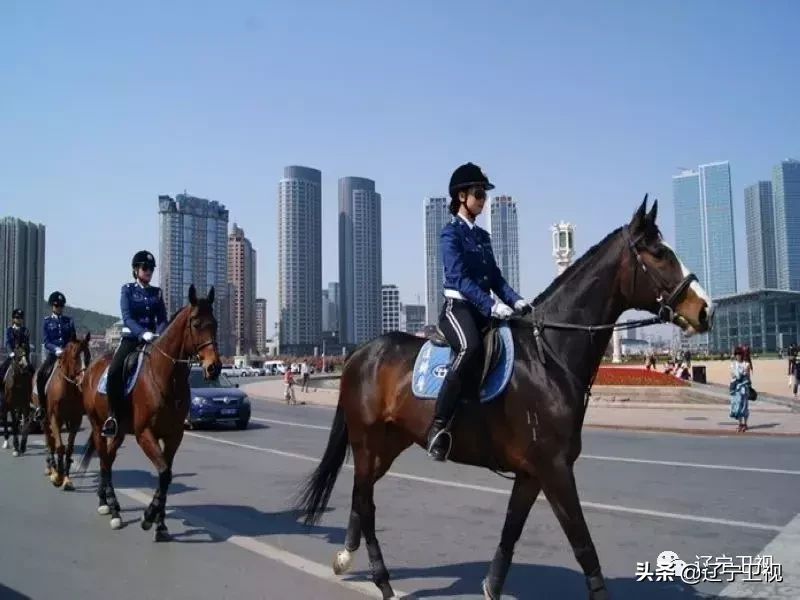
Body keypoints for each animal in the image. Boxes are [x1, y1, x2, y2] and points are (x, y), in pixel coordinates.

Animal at [38, 330, 90, 490]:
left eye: (88, 356)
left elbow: (69, 448)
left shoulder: (75, 420)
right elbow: (60, 446)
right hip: (45, 419)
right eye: (74, 356)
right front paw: (58, 477)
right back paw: (52, 469)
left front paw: (66, 479)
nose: (83, 381)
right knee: (49, 441)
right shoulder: (54, 417)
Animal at [78, 284, 222, 540]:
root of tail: (93, 366)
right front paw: (148, 517)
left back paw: (107, 502)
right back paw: (113, 510)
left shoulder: (174, 436)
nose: (213, 367)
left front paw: (160, 524)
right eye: (196, 323)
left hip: (119, 431)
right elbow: (163, 473)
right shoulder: (145, 433)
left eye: (214, 323)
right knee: (104, 459)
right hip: (98, 426)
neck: (167, 376)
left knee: (109, 459)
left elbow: (167, 475)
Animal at [296, 198, 716, 600]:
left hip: (388, 443)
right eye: (659, 253)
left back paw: (347, 557)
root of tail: (360, 352)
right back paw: (382, 581)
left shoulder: (532, 471)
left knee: (360, 495)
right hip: (366, 440)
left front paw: (491, 587)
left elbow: (511, 532)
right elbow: (583, 544)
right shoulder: (555, 467)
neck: (548, 355)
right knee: (366, 503)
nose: (705, 309)